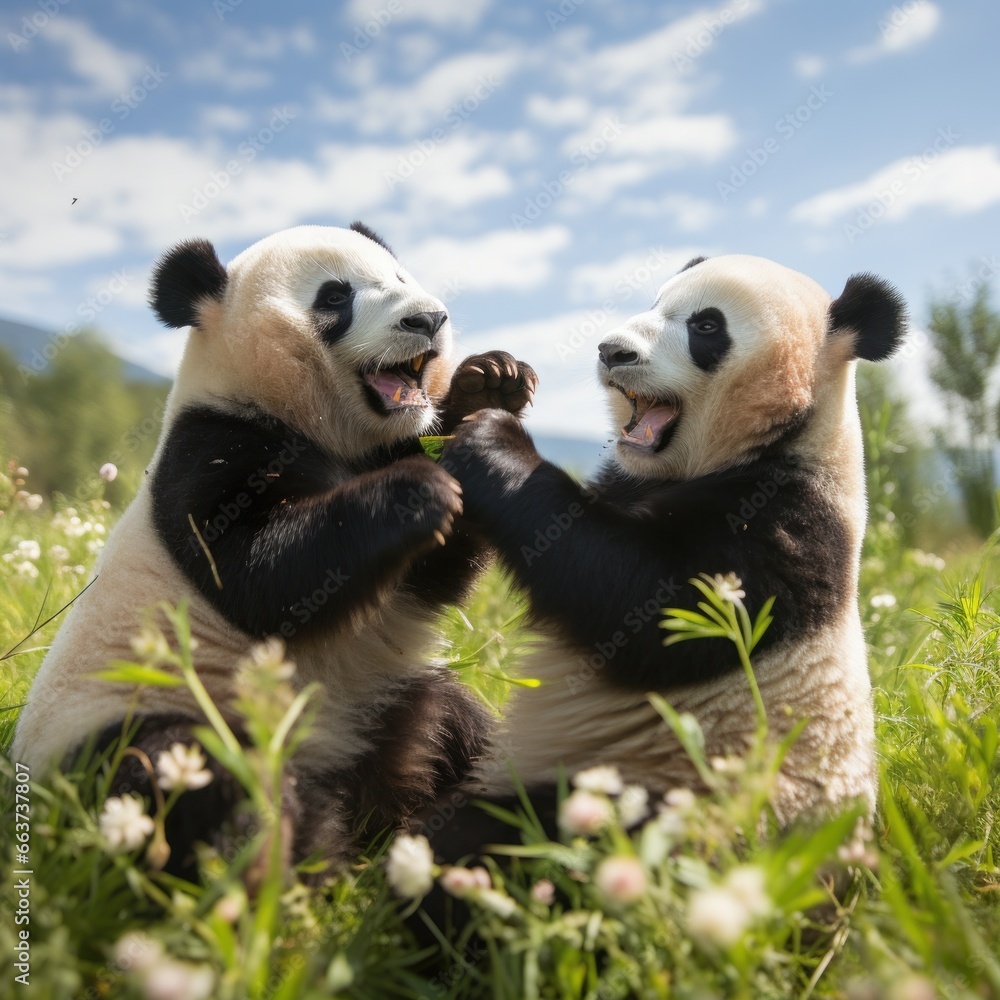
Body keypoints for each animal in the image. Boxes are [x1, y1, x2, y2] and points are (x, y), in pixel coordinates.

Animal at [9, 221, 540, 876]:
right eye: (335, 297)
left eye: (399, 276)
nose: (429, 319)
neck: (319, 427)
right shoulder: (211, 448)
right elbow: (262, 577)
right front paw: (414, 490)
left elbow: (431, 575)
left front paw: (491, 385)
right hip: (135, 720)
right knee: (187, 774)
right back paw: (280, 862)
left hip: (389, 698)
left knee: (465, 729)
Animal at [422, 252, 908, 860]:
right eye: (655, 304)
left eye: (706, 326)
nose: (613, 351)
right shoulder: (630, 479)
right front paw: (487, 383)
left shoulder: (789, 523)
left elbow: (651, 608)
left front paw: (494, 440)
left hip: (674, 804)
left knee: (517, 836)